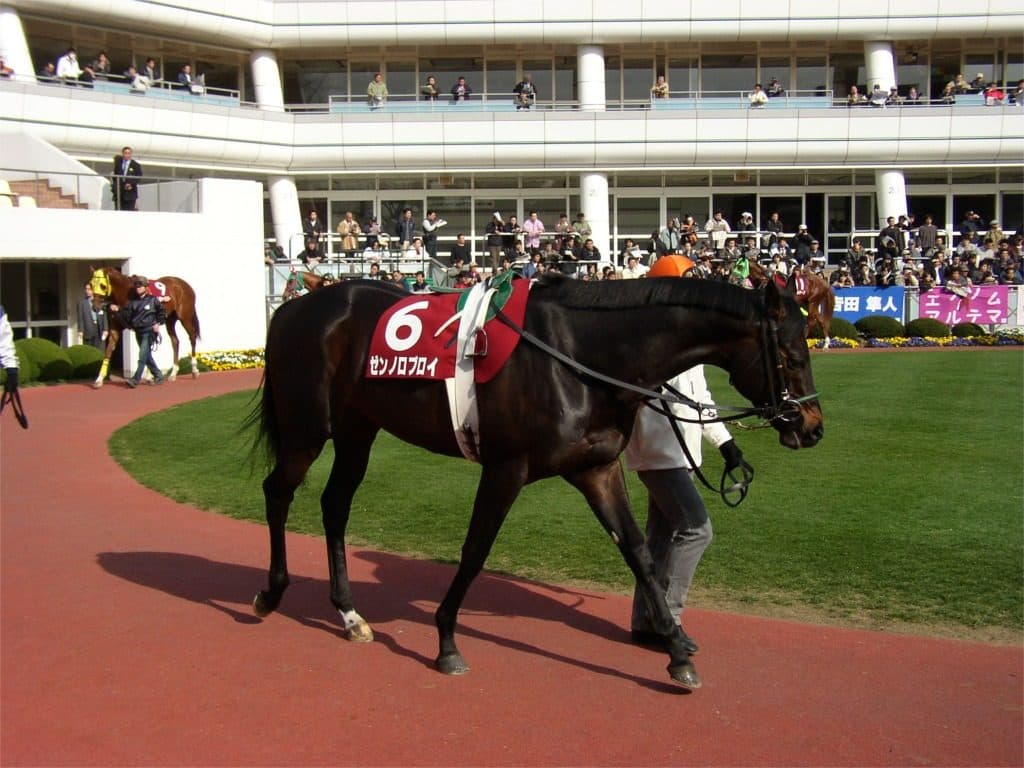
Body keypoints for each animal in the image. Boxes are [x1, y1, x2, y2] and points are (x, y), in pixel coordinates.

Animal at [251, 274, 824, 690]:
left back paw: (349, 614)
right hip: (307, 429)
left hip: (357, 429)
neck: (578, 355)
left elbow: (638, 553)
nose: (813, 427)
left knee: (334, 504)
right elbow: (475, 550)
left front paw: (677, 650)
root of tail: (291, 308)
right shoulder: (506, 467)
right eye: (792, 356)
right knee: (277, 491)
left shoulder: (597, 469)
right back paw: (270, 593)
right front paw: (447, 641)